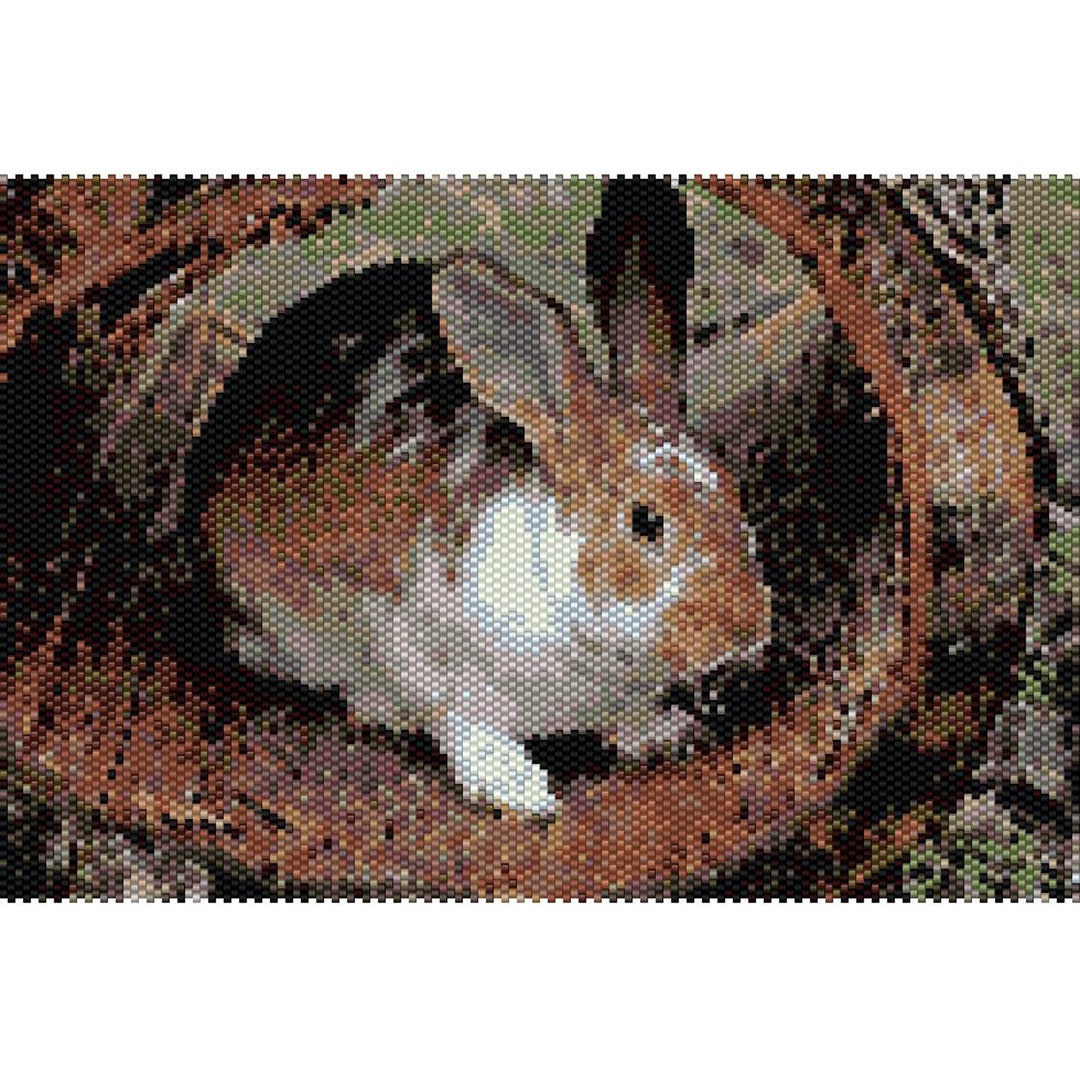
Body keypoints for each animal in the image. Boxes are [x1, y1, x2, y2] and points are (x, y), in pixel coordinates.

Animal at [204, 251, 772, 818]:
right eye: (646, 521)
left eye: (733, 490)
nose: (750, 630)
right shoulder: (417, 650)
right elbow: (457, 724)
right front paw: (521, 790)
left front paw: (666, 732)